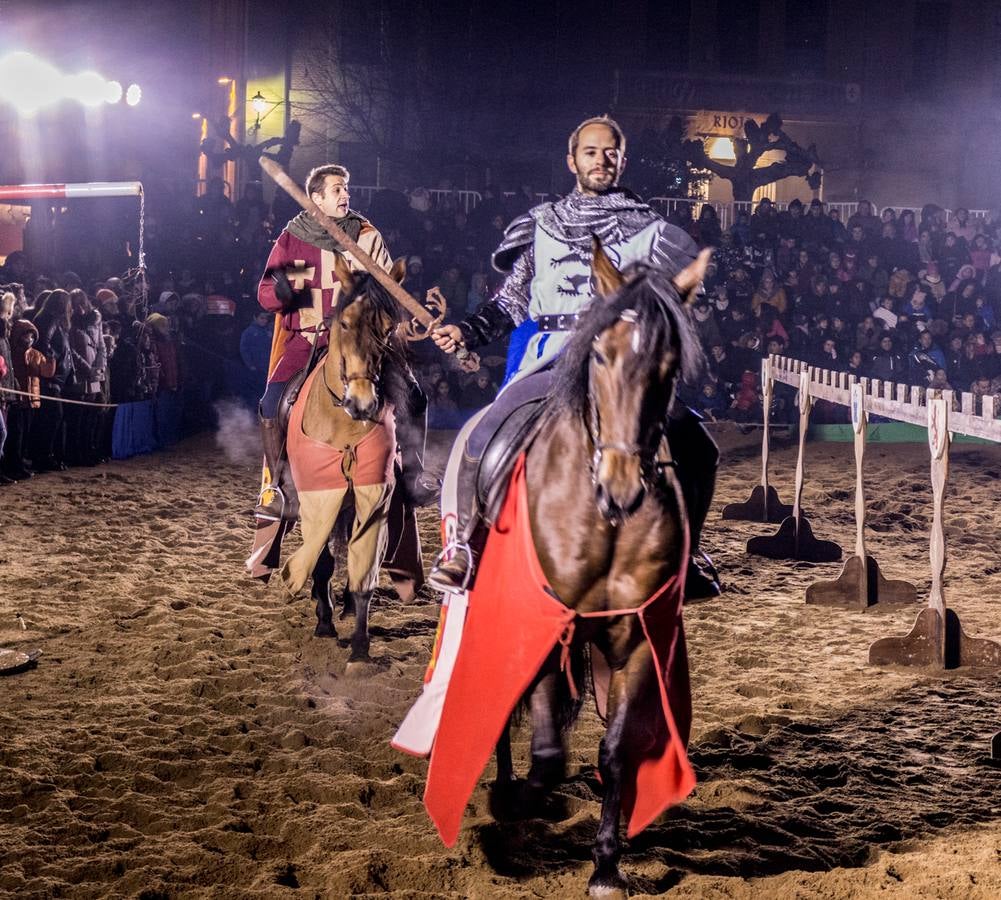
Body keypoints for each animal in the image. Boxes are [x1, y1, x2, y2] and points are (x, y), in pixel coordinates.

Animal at [278, 253, 410, 668]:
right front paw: (324, 620)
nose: (363, 403)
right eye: (346, 323)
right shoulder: (318, 494)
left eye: (388, 328)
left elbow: (363, 562)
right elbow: (320, 557)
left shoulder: (373, 495)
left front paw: (360, 645)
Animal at [496, 243, 708, 896]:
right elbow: (546, 755)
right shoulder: (547, 627)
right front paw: (519, 812)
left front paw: (607, 865)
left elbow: (615, 752)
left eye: (669, 366)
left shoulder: (637, 637)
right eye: (598, 354)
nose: (621, 489)